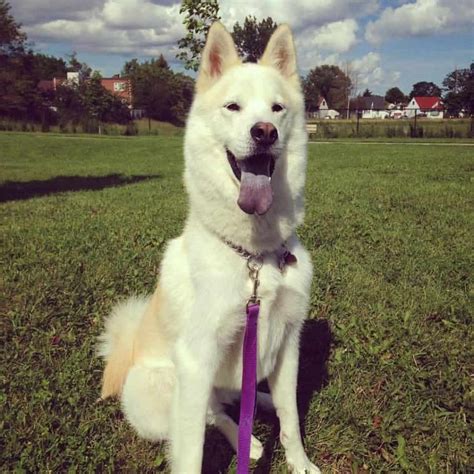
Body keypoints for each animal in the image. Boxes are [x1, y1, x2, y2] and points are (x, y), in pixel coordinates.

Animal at [100, 22, 322, 474]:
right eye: (233, 107)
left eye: (277, 109)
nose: (264, 132)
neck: (253, 256)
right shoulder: (197, 359)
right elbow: (191, 451)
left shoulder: (288, 344)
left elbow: (291, 417)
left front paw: (299, 463)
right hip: (165, 390)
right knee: (210, 414)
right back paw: (246, 442)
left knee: (235, 400)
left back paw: (260, 407)